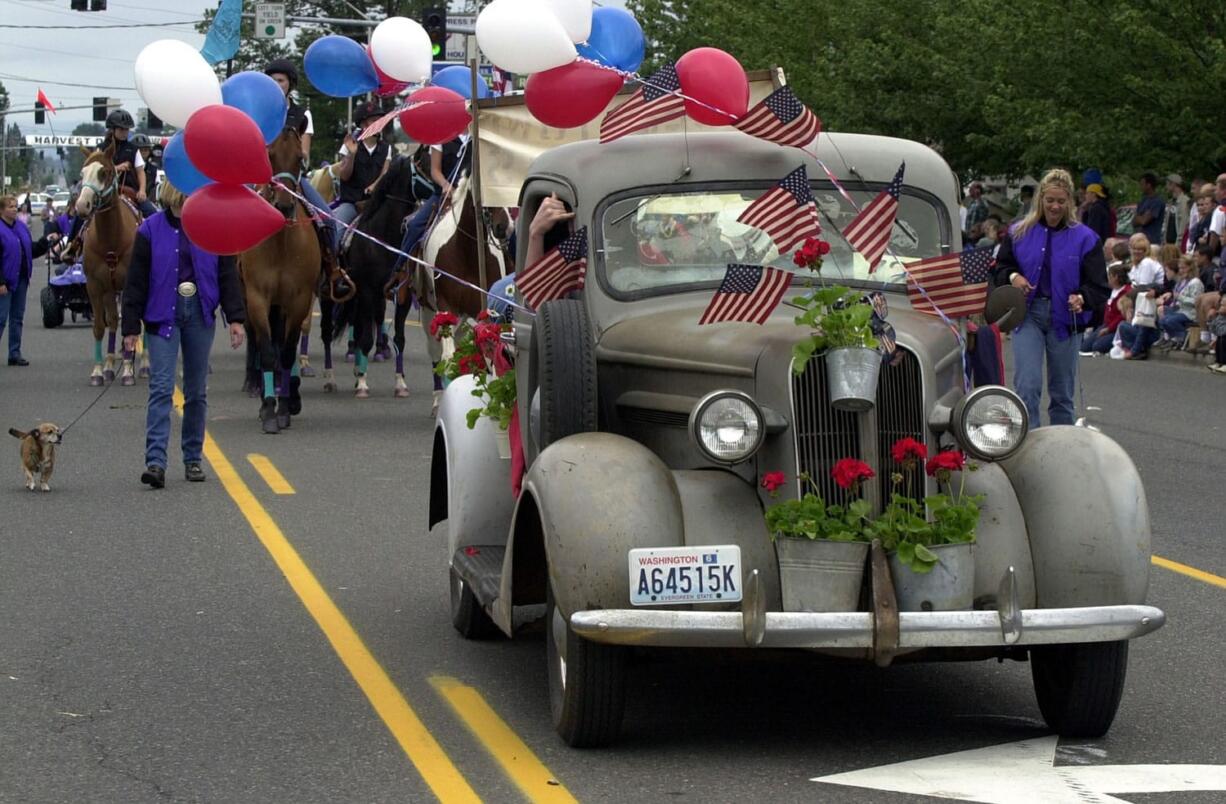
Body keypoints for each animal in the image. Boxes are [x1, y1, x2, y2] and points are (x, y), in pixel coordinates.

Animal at [76, 147, 140, 387]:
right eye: (82, 173)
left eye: (104, 172)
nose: (81, 205)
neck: (111, 239)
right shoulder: (95, 286)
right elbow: (100, 326)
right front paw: (99, 371)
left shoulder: (131, 285)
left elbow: (132, 326)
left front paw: (128, 370)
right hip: (110, 290)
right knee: (112, 320)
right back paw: (111, 366)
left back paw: (143, 366)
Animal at [239, 130, 321, 433]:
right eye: (270, 155)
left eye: (300, 158)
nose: (284, 206)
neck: (281, 243)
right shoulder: (257, 298)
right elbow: (267, 351)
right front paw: (268, 409)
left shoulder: (299, 300)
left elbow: (286, 353)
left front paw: (284, 407)